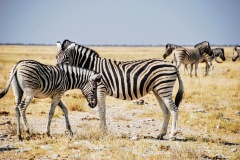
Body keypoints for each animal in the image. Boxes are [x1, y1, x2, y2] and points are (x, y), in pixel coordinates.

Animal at [56, 39, 184, 140]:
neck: (92, 67)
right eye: (56, 57)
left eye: (67, 57)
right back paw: (161, 134)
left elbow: (101, 110)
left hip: (164, 88)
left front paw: (103, 131)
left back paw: (172, 135)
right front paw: (103, 130)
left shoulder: (101, 88)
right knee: (166, 111)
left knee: (174, 109)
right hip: (157, 90)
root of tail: (172, 65)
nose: (58, 70)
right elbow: (101, 110)